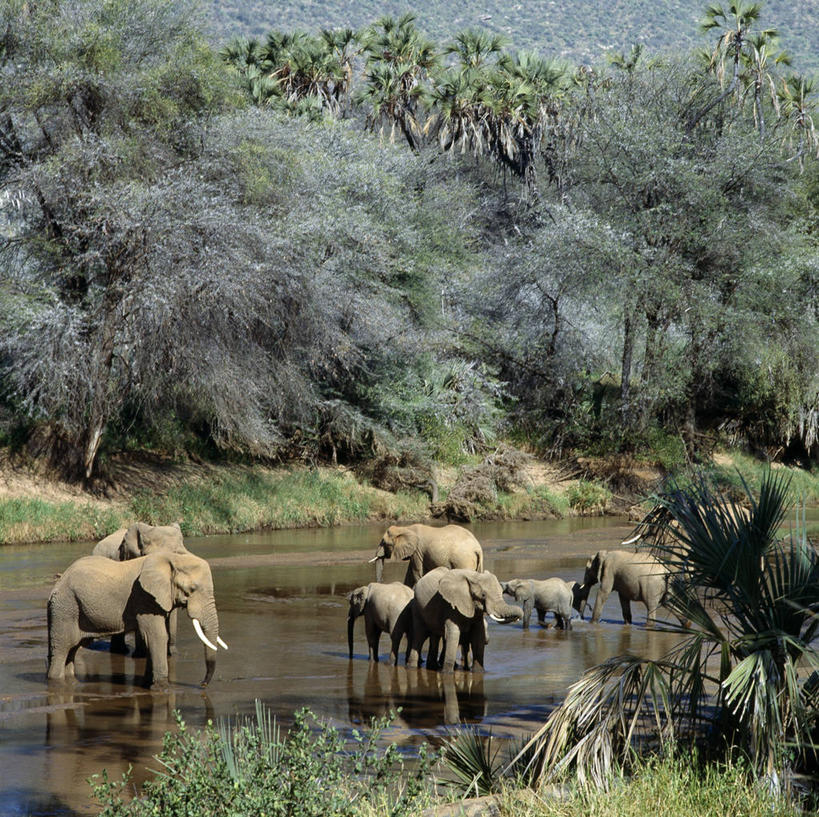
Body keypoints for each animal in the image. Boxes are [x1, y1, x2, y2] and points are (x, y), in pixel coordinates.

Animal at [47, 548, 227, 688]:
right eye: (192, 589)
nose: (202, 684)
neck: (172, 558)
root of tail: (57, 584)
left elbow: (151, 637)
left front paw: (147, 683)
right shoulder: (144, 598)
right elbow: (157, 636)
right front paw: (162, 687)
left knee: (72, 649)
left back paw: (72, 682)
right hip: (65, 609)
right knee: (63, 648)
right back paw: (57, 681)